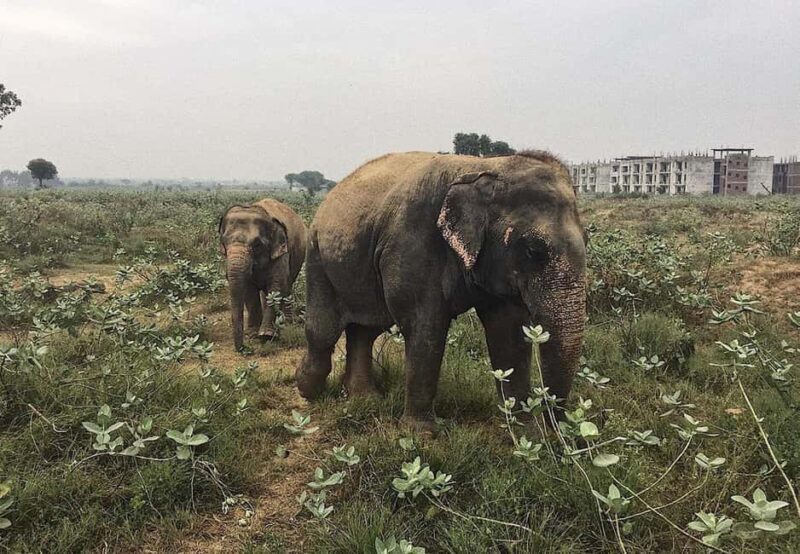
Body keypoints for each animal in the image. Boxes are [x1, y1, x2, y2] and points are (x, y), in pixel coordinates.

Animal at [219, 198, 307, 350]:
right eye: (224, 242)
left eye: (257, 244)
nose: (244, 348)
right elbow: (249, 289)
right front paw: (254, 334)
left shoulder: (282, 251)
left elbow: (277, 285)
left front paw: (266, 336)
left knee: (287, 286)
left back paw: (288, 323)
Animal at [295, 150, 587, 430]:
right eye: (533, 251)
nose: (556, 427)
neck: (485, 166)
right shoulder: (412, 242)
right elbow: (425, 327)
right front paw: (423, 432)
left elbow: (508, 333)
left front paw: (527, 431)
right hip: (317, 256)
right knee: (323, 331)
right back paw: (308, 391)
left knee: (365, 330)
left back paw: (365, 398)